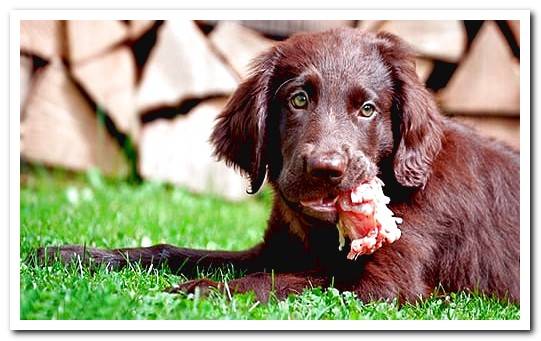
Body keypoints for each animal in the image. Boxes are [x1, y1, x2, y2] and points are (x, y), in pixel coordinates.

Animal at [38, 27, 520, 302]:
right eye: (299, 99)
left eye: (367, 109)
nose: (326, 168)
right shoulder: (272, 250)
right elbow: (179, 252)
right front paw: (76, 254)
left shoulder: (385, 286)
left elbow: (284, 280)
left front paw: (200, 291)